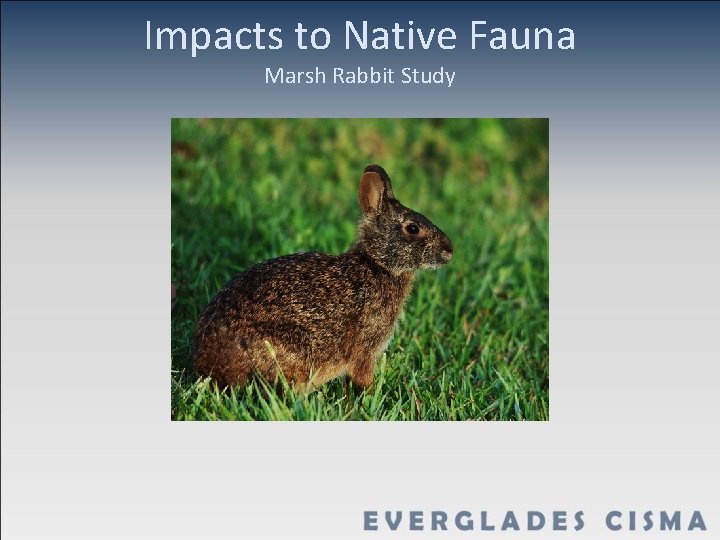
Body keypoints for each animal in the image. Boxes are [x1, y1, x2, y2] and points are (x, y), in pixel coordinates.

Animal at [193, 164, 453, 390]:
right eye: (412, 228)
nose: (449, 250)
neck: (377, 264)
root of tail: (209, 361)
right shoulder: (365, 347)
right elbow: (362, 373)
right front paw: (370, 392)